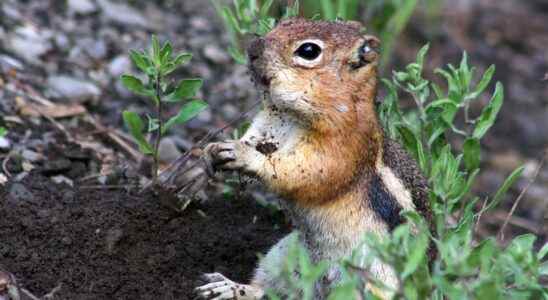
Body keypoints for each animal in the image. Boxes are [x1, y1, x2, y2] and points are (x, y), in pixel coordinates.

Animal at [195, 18, 430, 298]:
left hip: (372, 284)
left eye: (308, 51)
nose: (252, 49)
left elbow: (300, 172)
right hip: (283, 256)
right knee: (269, 291)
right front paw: (214, 150)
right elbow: (252, 137)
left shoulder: (339, 148)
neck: (293, 115)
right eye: (284, 23)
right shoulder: (267, 123)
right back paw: (227, 287)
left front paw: (244, 155)